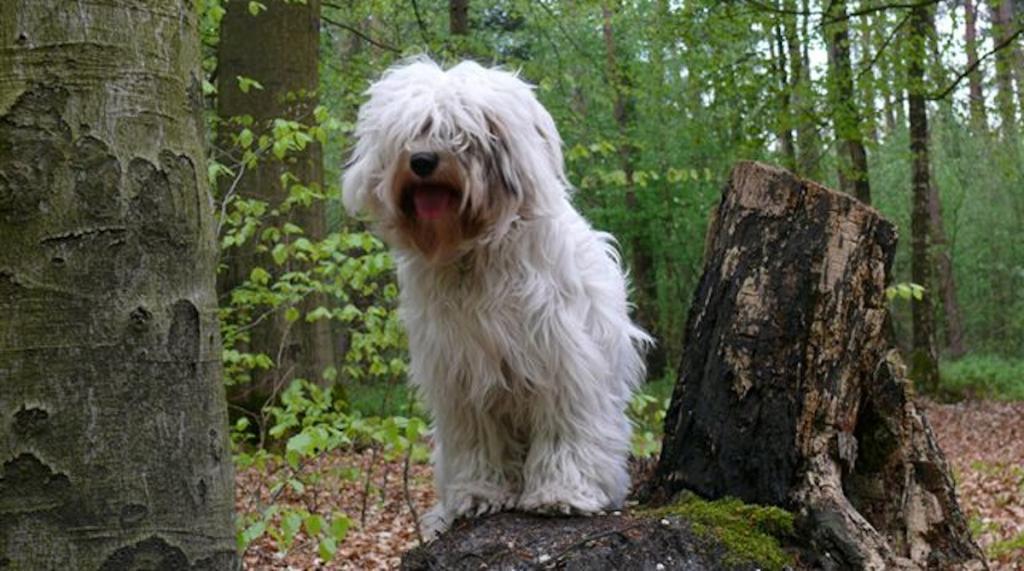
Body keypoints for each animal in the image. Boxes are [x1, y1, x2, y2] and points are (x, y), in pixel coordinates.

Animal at [342, 57, 647, 532]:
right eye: (415, 129)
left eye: (459, 131)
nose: (423, 160)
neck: (473, 254)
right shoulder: (463, 374)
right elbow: (478, 442)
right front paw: (477, 495)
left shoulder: (562, 359)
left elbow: (564, 428)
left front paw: (562, 493)